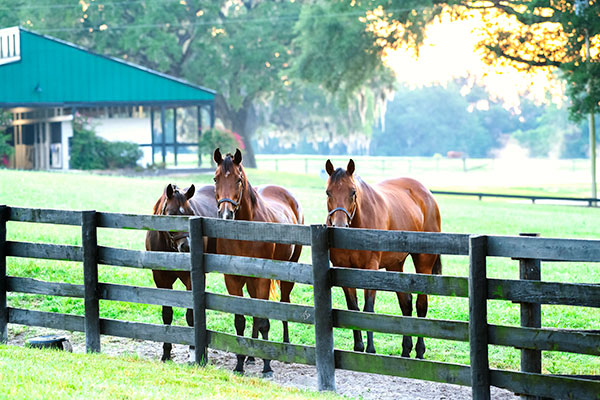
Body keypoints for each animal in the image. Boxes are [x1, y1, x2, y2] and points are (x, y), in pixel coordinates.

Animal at [145, 184, 218, 362]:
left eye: (191, 213)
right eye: (171, 214)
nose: (187, 246)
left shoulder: (191, 280)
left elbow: (191, 315)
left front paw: (194, 350)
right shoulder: (161, 279)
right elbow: (167, 314)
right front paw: (166, 353)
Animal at [212, 148, 304, 376]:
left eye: (238, 179)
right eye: (216, 178)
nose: (226, 214)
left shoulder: (262, 278)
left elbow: (263, 321)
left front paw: (268, 366)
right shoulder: (233, 278)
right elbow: (240, 320)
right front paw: (239, 363)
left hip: (287, 275)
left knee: (284, 304)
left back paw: (285, 348)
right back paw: (251, 357)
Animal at [324, 159, 440, 360]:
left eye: (352, 192)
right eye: (328, 192)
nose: (340, 225)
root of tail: (427, 193)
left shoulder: (370, 270)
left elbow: (368, 309)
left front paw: (370, 350)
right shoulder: (343, 270)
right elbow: (353, 308)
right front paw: (358, 347)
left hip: (424, 263)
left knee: (421, 305)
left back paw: (419, 351)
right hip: (395, 265)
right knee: (406, 304)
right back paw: (406, 350)